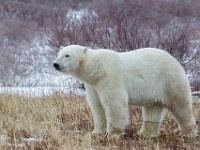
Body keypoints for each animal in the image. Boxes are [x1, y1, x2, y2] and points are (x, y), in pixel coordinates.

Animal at [53, 45, 197, 138]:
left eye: (67, 55)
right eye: (58, 54)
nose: (55, 64)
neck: (96, 69)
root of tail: (174, 60)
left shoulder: (110, 77)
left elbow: (114, 103)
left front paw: (113, 134)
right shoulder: (93, 85)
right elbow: (97, 106)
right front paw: (96, 132)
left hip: (169, 80)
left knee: (181, 105)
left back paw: (188, 132)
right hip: (155, 90)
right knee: (152, 109)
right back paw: (145, 133)